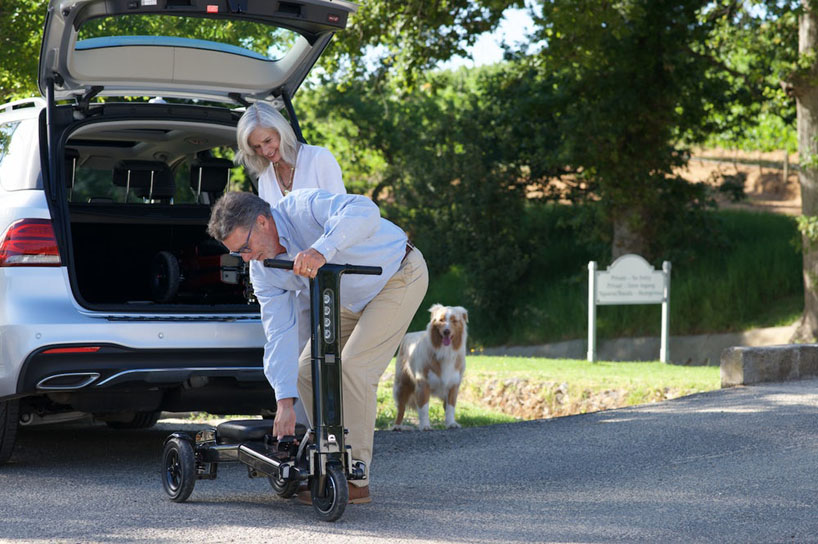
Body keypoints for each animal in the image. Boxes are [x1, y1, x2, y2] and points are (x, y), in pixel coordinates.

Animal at [392, 304, 468, 432]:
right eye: (441, 320)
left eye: (454, 321)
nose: (446, 331)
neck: (445, 352)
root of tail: (409, 334)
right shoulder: (423, 383)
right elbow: (423, 408)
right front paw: (425, 426)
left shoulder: (453, 385)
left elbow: (450, 407)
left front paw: (451, 423)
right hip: (402, 384)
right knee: (401, 408)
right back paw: (397, 426)